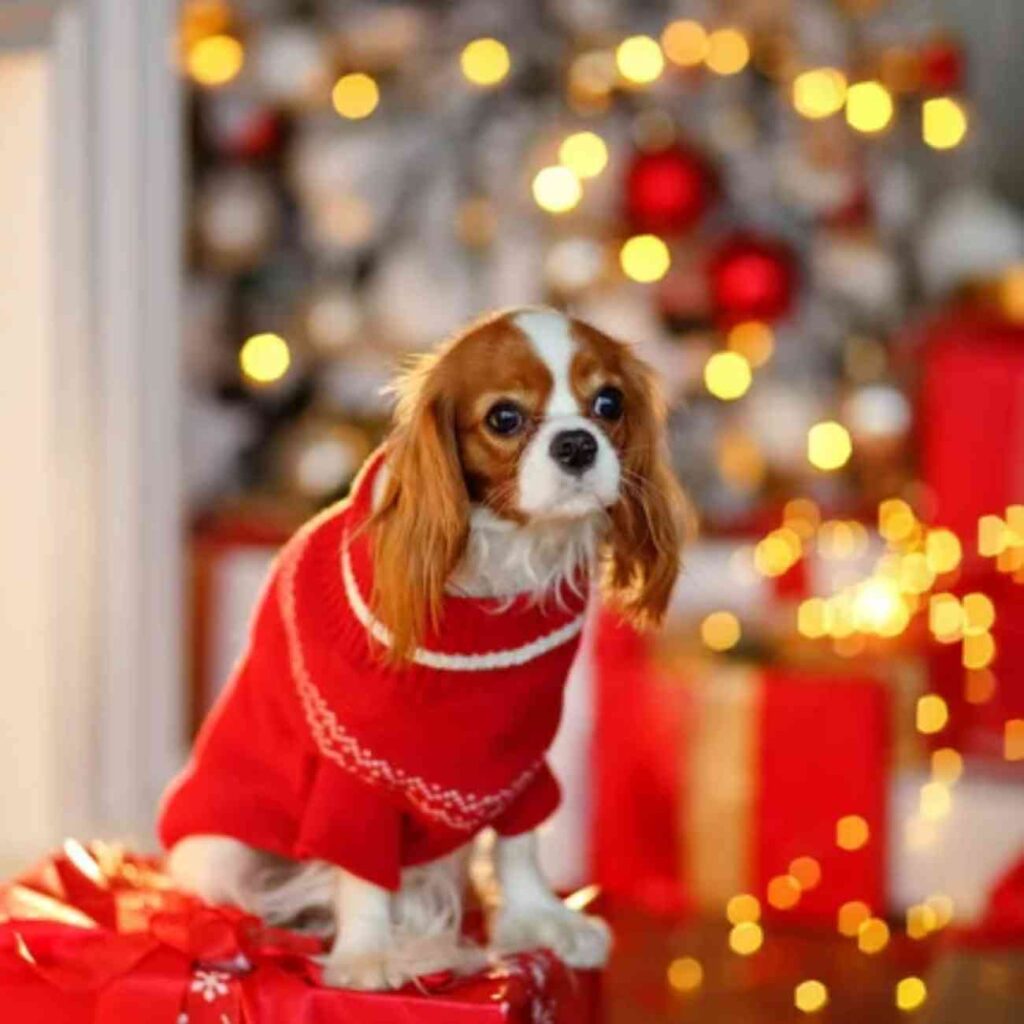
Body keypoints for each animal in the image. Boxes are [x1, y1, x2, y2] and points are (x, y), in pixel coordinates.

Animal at [159, 307, 684, 987]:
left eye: (609, 403)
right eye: (504, 417)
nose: (576, 443)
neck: (500, 568)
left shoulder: (521, 761)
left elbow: (519, 845)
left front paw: (540, 920)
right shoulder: (355, 778)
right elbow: (361, 873)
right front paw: (366, 954)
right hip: (218, 855)